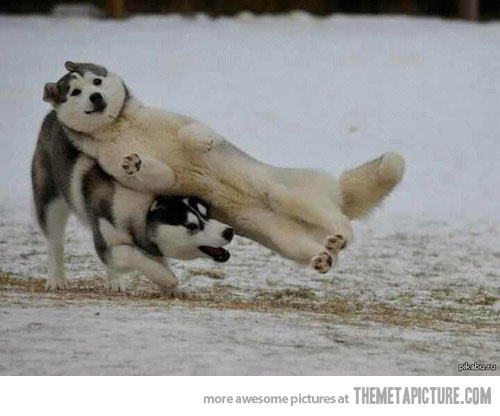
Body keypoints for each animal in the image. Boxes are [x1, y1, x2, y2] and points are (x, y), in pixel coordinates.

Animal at [31, 110, 234, 293]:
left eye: (206, 212)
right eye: (191, 226)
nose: (229, 232)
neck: (140, 209)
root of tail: (53, 114)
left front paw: (170, 289)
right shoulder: (106, 243)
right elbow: (129, 253)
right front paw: (164, 276)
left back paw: (114, 281)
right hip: (51, 203)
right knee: (55, 242)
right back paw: (57, 279)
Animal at [43, 61, 405, 274]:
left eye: (97, 81)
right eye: (76, 91)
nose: (96, 98)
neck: (120, 126)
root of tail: (337, 190)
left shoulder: (182, 121)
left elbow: (193, 132)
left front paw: (201, 142)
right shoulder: (139, 173)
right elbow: (157, 172)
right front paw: (137, 162)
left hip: (286, 193)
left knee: (337, 219)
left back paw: (340, 234)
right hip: (288, 240)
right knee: (326, 246)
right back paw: (326, 254)